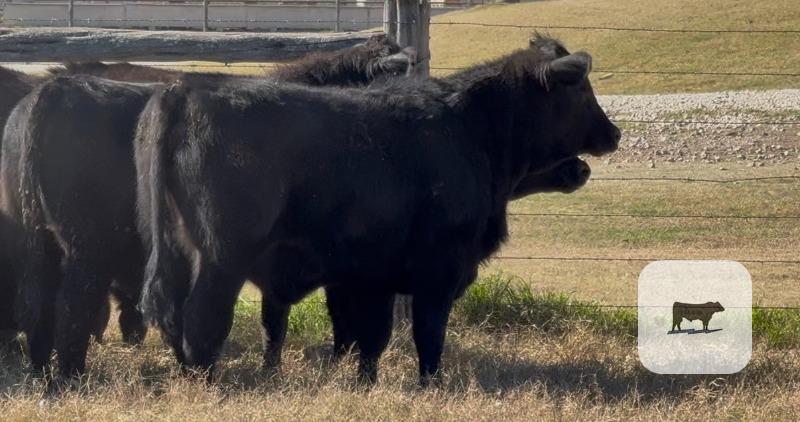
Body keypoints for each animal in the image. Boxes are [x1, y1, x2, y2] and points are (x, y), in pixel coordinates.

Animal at [0, 37, 417, 378]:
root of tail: (51, 92)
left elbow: (276, 317)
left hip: (44, 242)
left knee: (41, 306)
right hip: (88, 250)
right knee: (73, 307)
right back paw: (73, 375)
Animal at [134, 34, 620, 385]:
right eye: (581, 92)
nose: (613, 133)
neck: (470, 129)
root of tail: (186, 89)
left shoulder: (372, 277)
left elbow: (369, 340)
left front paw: (364, 383)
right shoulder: (437, 272)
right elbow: (426, 335)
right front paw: (429, 386)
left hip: (181, 250)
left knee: (174, 314)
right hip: (221, 258)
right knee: (201, 318)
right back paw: (208, 381)